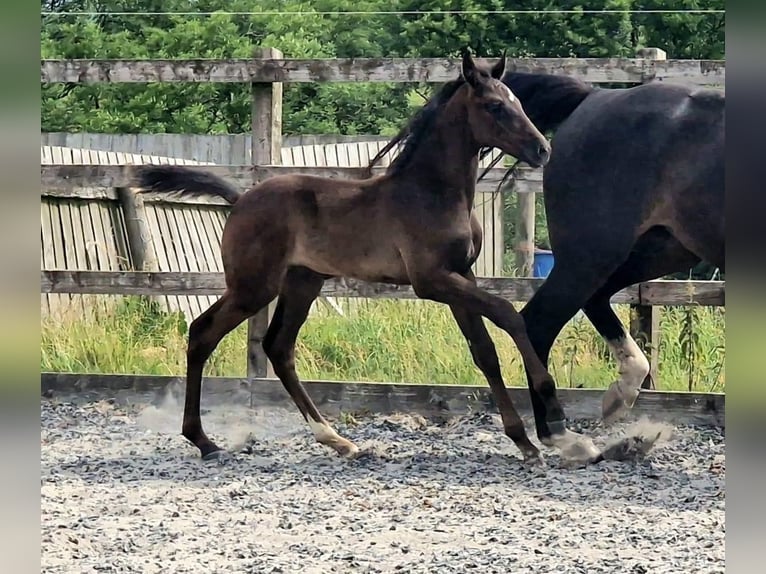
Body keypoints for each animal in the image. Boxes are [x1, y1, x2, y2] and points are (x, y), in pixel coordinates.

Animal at [132, 51, 596, 468]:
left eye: (518, 102)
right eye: (495, 106)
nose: (542, 150)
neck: (431, 192)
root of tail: (241, 198)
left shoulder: (461, 275)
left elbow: (483, 351)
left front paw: (525, 441)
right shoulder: (433, 280)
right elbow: (509, 315)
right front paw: (557, 422)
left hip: (303, 281)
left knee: (278, 346)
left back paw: (337, 441)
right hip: (253, 286)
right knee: (202, 332)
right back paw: (204, 441)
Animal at [498, 71, 728, 440]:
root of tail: (594, 97)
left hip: (658, 251)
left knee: (593, 299)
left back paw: (620, 395)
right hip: (593, 253)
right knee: (540, 320)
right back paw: (557, 433)